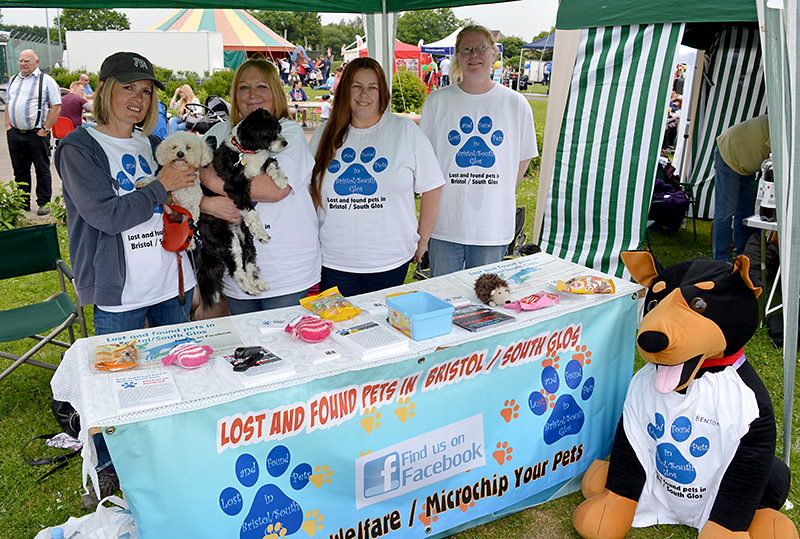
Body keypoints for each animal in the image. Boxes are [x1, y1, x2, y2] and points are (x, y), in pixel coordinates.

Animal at [195, 108, 290, 308]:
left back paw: (258, 282)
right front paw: (261, 230)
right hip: (228, 241)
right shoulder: (236, 186)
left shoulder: (261, 166)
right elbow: (251, 211)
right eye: (270, 132)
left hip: (245, 237)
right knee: (236, 270)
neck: (247, 153)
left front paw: (281, 180)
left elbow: (271, 163)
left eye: (279, 129)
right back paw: (250, 288)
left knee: (250, 261)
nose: (285, 142)